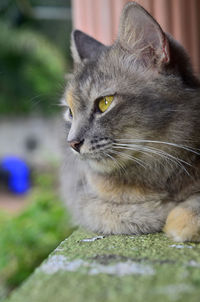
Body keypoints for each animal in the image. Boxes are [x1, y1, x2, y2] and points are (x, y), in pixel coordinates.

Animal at [61, 1, 200, 243]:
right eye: (70, 112)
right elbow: (115, 213)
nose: (72, 143)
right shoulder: (83, 195)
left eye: (105, 103)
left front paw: (183, 218)